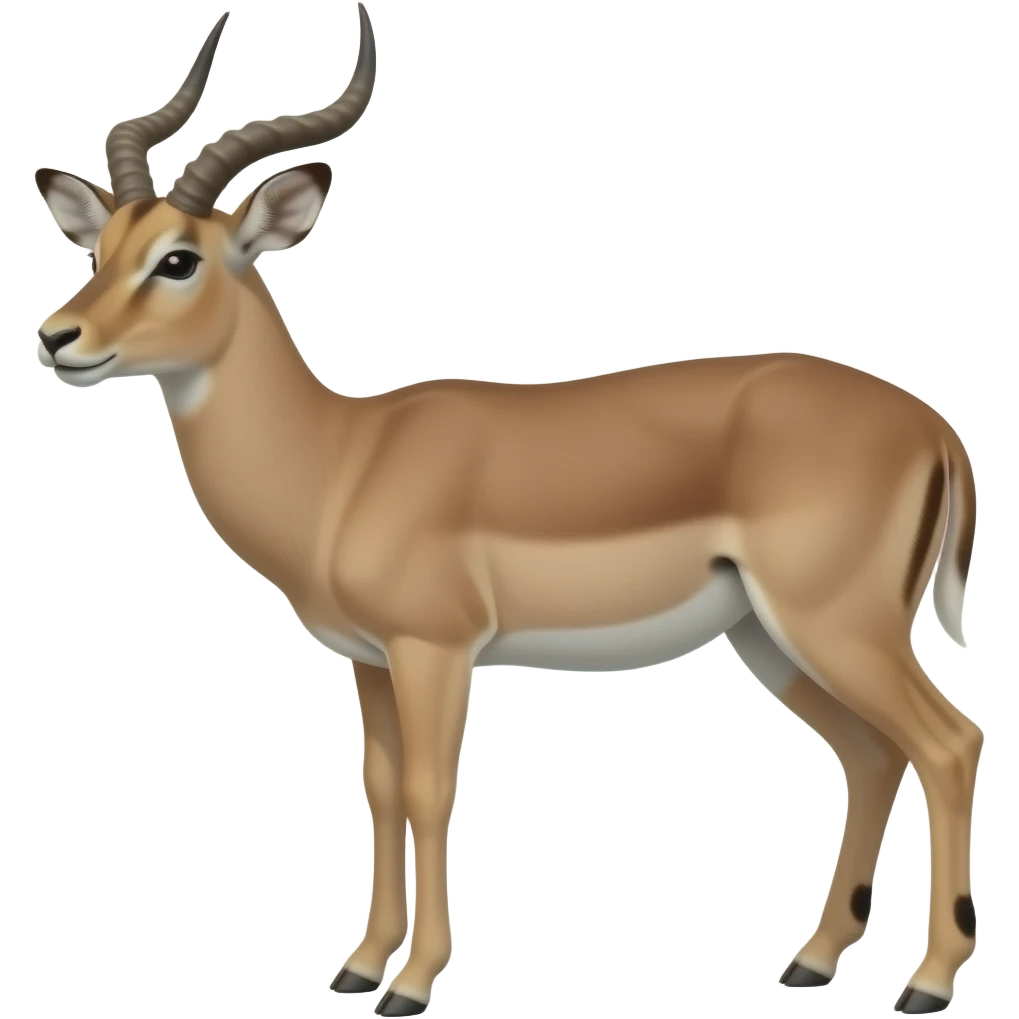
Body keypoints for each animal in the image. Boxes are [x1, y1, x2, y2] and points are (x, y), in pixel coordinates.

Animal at [32, 8, 981, 1017]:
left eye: (178, 259)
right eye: (98, 252)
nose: (57, 336)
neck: (343, 460)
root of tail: (931, 425)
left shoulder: (436, 649)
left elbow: (427, 789)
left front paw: (411, 982)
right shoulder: (371, 661)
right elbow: (377, 789)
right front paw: (358, 964)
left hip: (837, 625)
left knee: (948, 742)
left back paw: (926, 981)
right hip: (771, 636)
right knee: (873, 755)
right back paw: (812, 959)